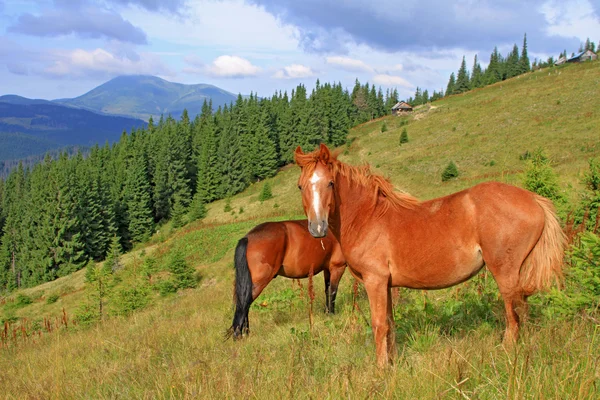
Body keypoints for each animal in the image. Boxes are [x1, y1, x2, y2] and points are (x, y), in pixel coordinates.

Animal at [296, 144, 568, 366]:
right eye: (301, 186)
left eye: (330, 183)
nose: (317, 228)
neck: (368, 217)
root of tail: (533, 199)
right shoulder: (386, 284)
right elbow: (390, 324)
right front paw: (393, 363)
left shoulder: (375, 281)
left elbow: (378, 325)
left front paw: (381, 370)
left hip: (505, 272)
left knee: (515, 314)